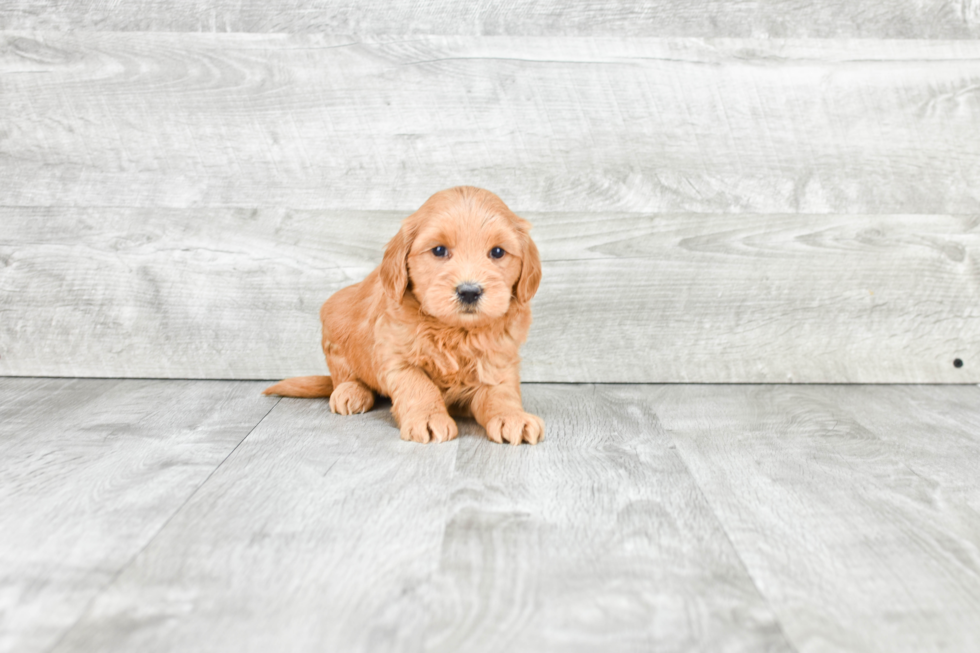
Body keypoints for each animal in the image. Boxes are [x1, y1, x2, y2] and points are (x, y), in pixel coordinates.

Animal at [262, 186, 544, 446]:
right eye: (439, 250)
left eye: (497, 252)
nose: (469, 291)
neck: (454, 331)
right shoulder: (395, 355)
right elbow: (418, 385)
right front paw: (428, 418)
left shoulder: (499, 360)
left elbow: (501, 392)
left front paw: (512, 417)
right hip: (335, 325)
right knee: (344, 374)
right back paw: (350, 391)